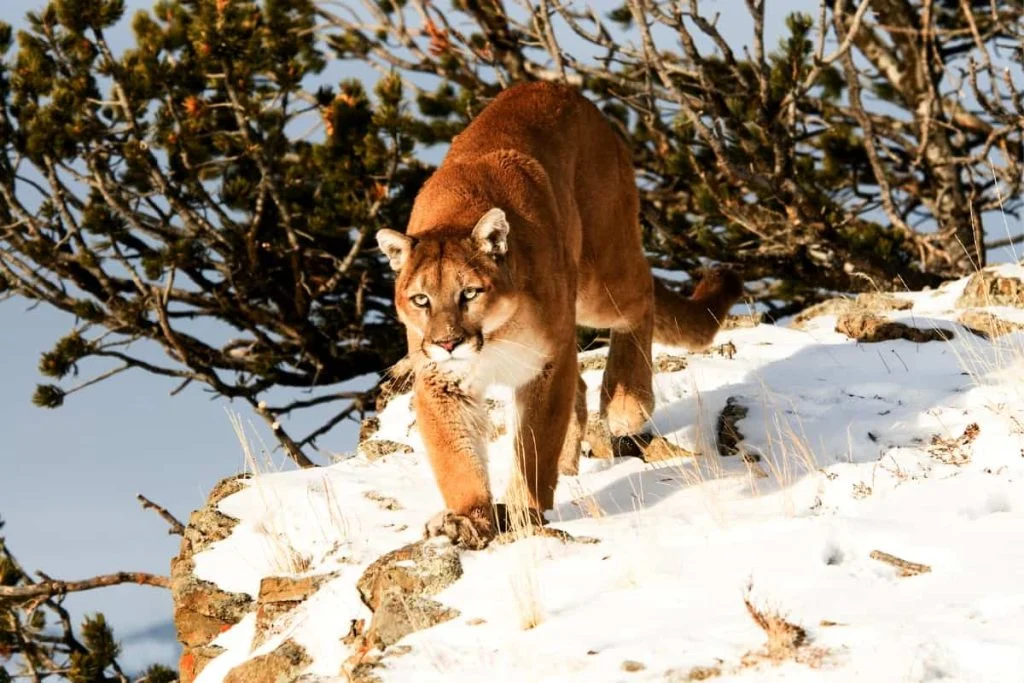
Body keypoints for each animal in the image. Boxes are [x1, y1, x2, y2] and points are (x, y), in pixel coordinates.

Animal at [376, 82, 743, 549]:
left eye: (469, 293)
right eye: (421, 299)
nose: (446, 342)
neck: (493, 337)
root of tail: (556, 86)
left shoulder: (546, 364)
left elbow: (534, 444)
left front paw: (525, 510)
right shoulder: (442, 380)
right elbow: (455, 456)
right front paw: (467, 519)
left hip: (600, 277)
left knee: (641, 295)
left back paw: (627, 402)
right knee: (582, 383)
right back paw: (570, 465)